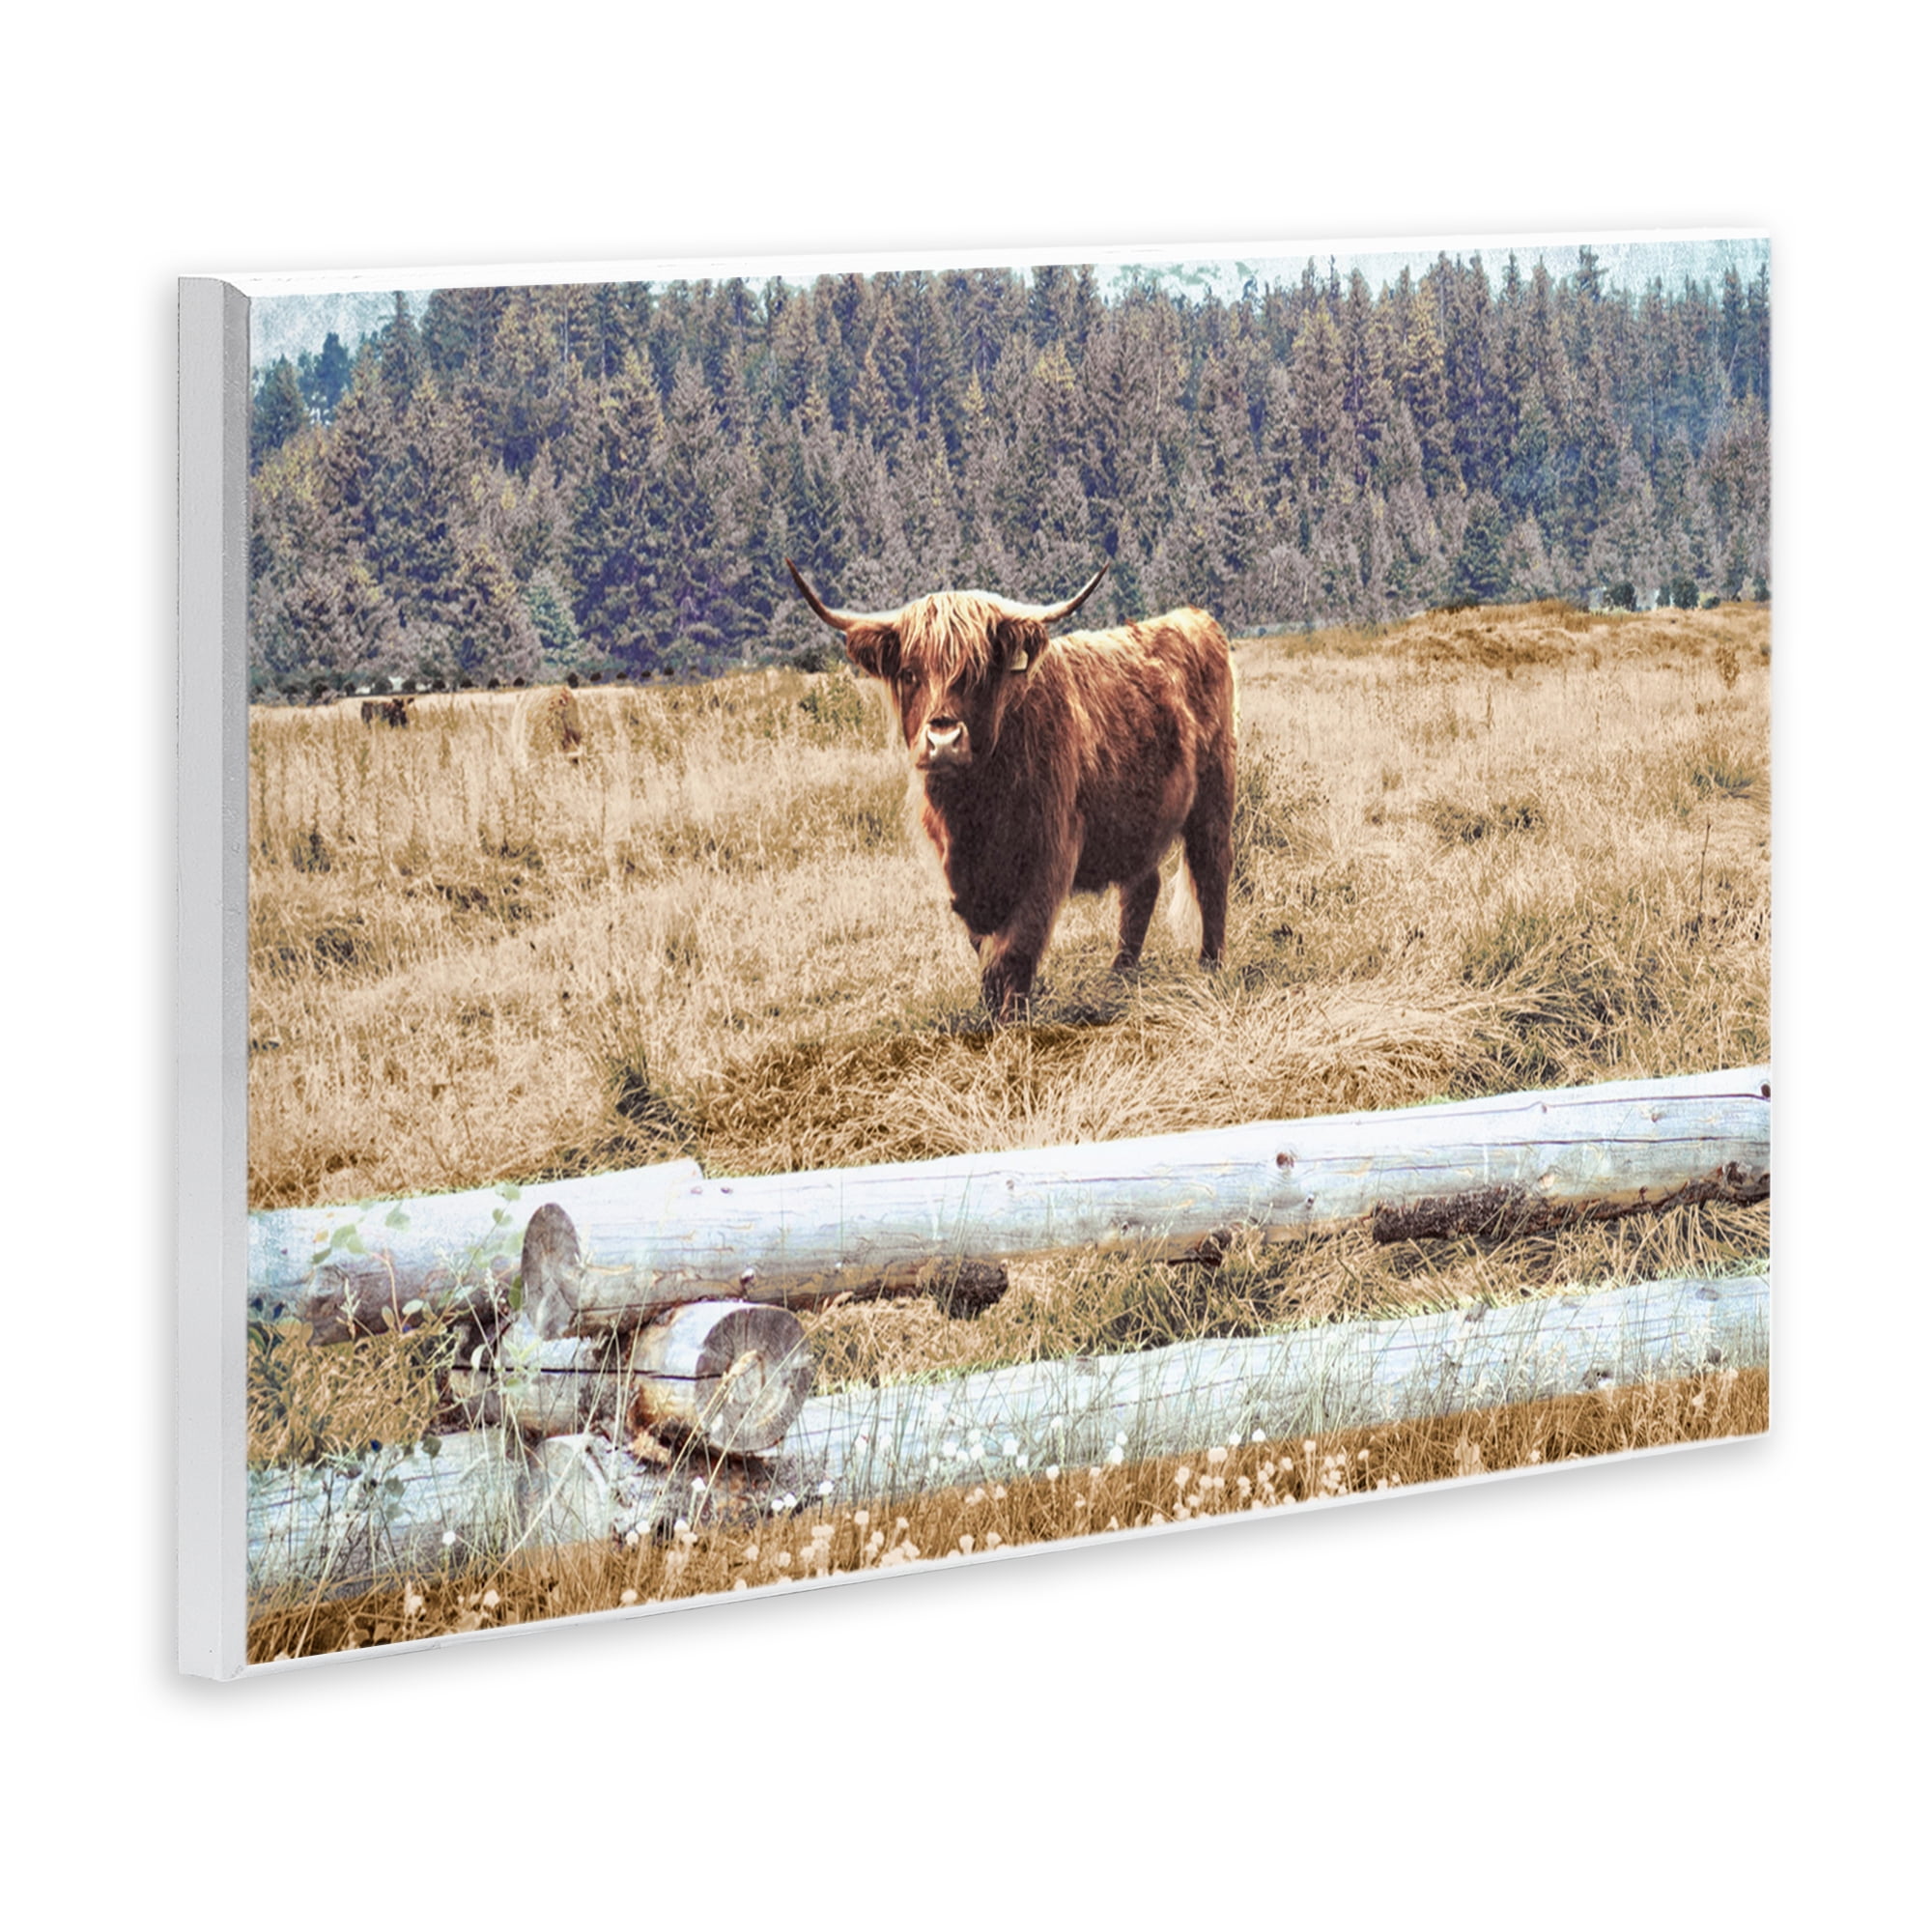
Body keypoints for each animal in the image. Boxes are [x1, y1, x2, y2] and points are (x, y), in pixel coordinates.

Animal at [787, 558, 1237, 1021]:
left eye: (979, 672)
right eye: (910, 673)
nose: (944, 740)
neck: (974, 812)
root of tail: (1193, 618)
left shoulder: (1048, 855)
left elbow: (1017, 946)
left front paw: (1012, 1019)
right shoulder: (961, 875)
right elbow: (983, 948)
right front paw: (987, 1010)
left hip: (1215, 794)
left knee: (1212, 871)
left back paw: (1210, 966)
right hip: (1137, 819)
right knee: (1141, 887)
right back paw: (1120, 974)